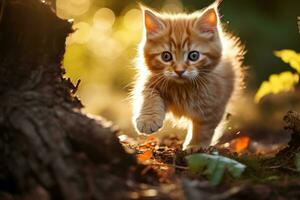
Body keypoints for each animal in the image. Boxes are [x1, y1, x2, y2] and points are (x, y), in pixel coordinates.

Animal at [132, 1, 245, 151]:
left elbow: (204, 128)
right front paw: (148, 120)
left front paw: (195, 145)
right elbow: (149, 99)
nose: (179, 71)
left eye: (194, 55)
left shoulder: (214, 104)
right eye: (166, 56)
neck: (183, 88)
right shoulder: (150, 83)